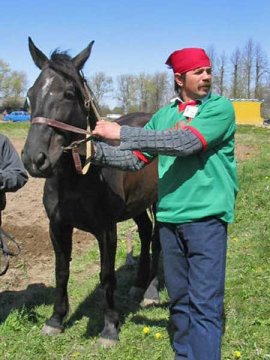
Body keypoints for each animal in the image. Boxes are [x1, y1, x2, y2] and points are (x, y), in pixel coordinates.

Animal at [22, 37, 160, 346]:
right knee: (145, 232)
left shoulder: (106, 230)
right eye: (30, 93)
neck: (78, 178)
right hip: (137, 205)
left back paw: (152, 290)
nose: (35, 159)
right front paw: (56, 319)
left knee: (158, 240)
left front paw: (109, 328)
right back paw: (138, 285)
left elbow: (106, 275)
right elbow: (61, 271)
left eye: (69, 93)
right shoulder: (57, 226)